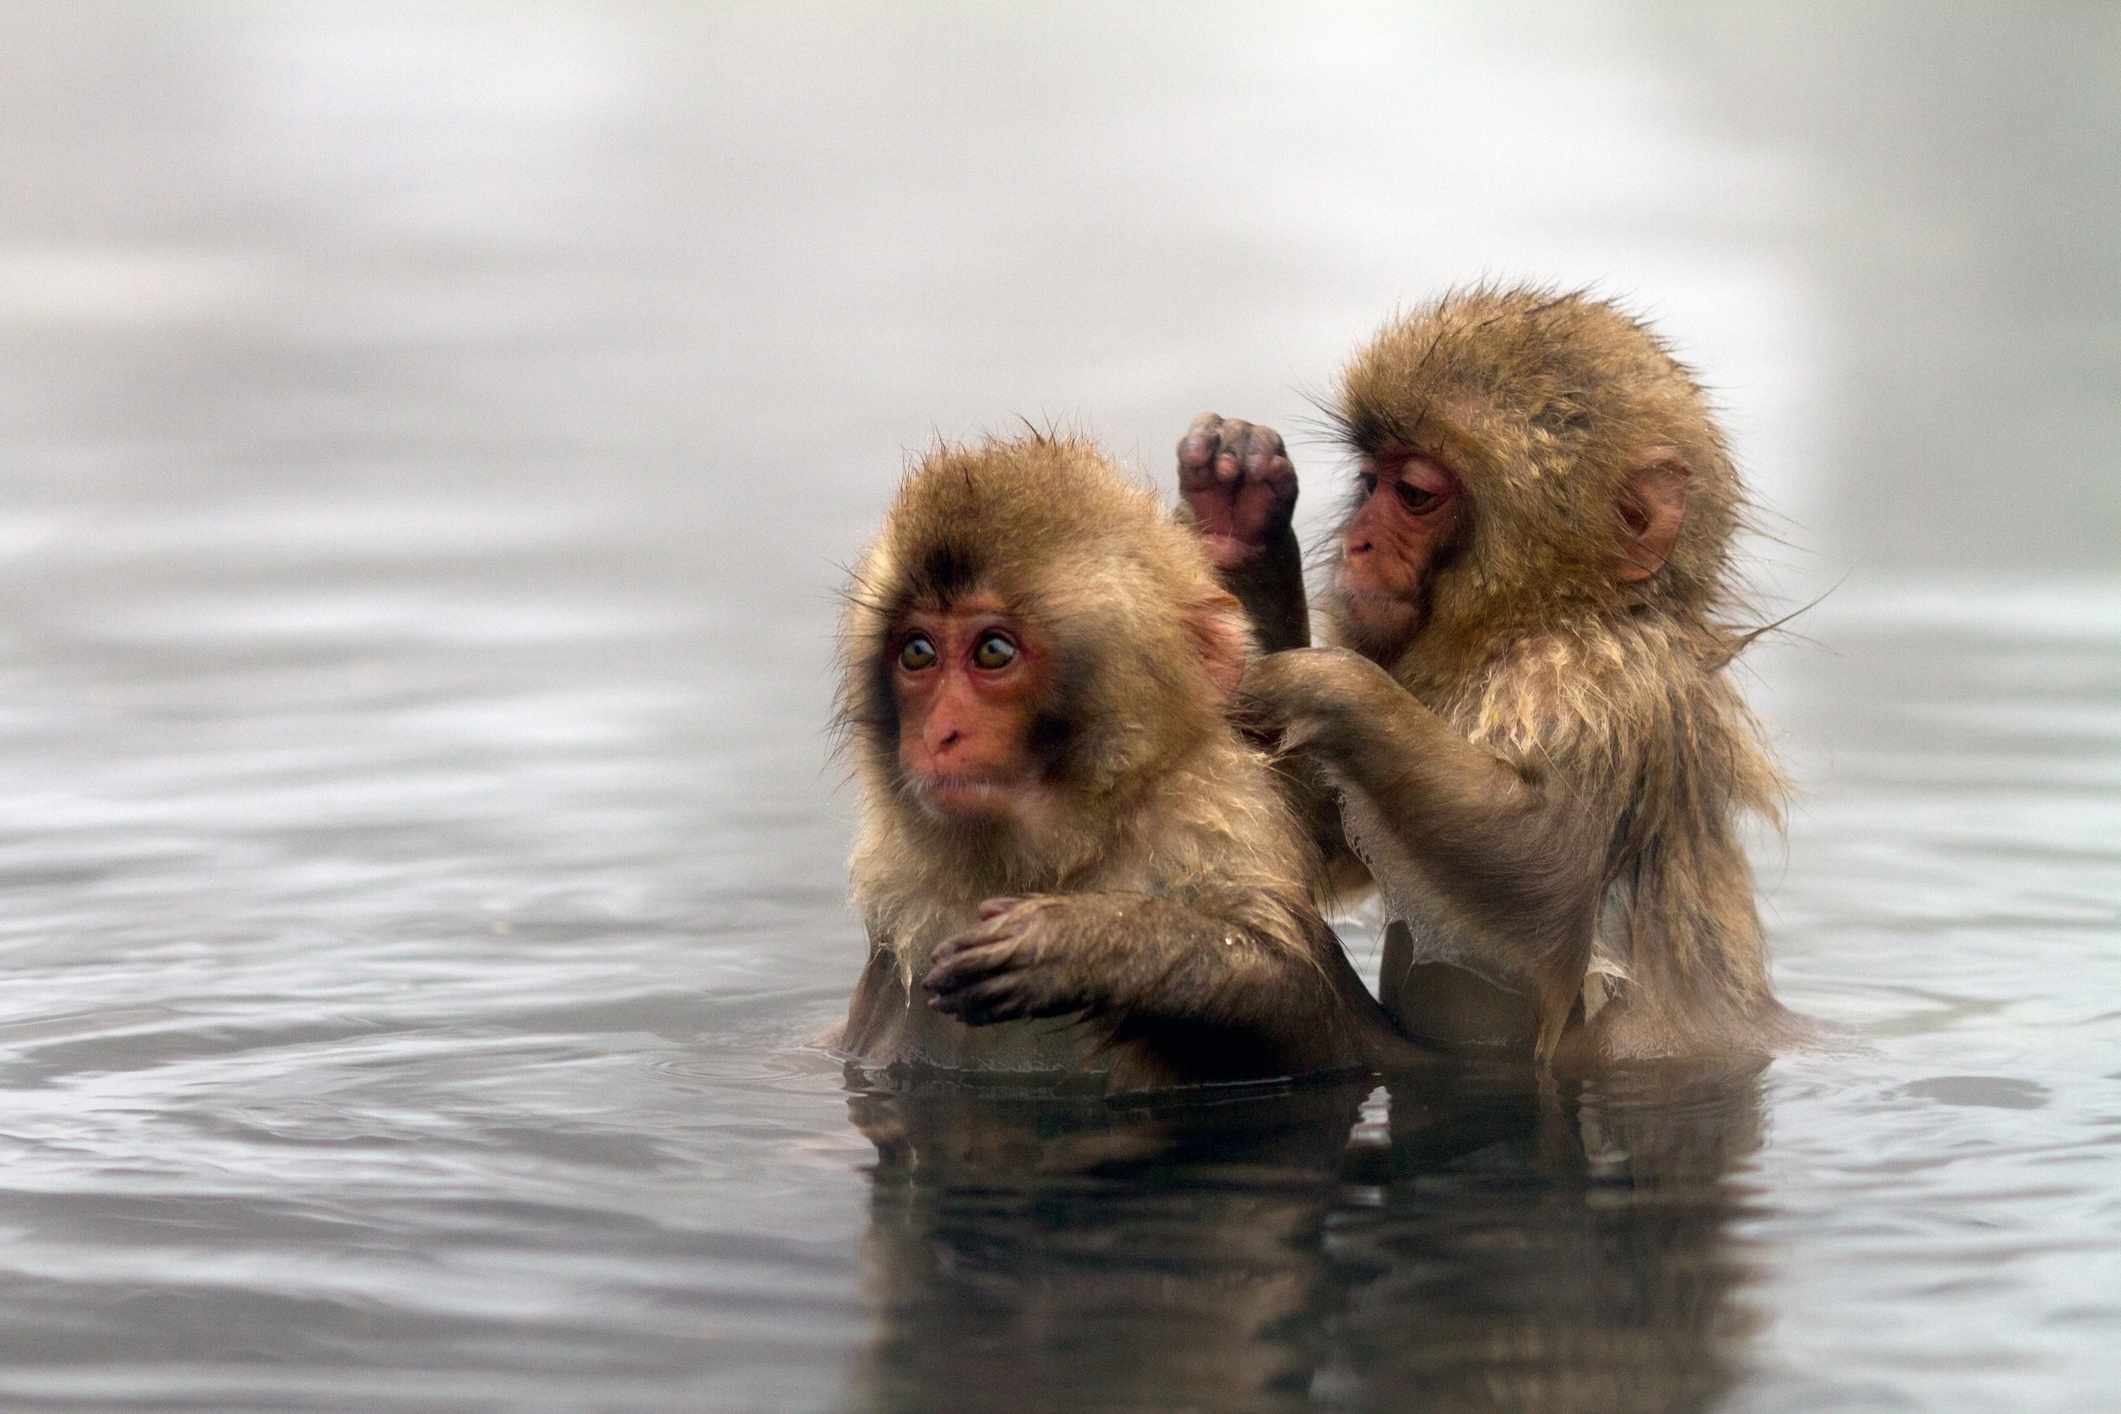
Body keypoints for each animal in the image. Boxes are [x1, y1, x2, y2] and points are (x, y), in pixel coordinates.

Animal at [822, 432, 1408, 1093]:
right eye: (918, 652)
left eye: (993, 651)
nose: (939, 734)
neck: (1060, 857)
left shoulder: (1220, 839)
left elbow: (1314, 1008)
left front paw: (1086, 942)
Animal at [1187, 284, 1798, 1059]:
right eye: (1369, 482)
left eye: (1414, 495)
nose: (1357, 545)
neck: (1546, 616)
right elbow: (1311, 836)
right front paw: (1241, 518)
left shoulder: (1596, 684)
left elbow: (1542, 881)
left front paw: (1328, 682)